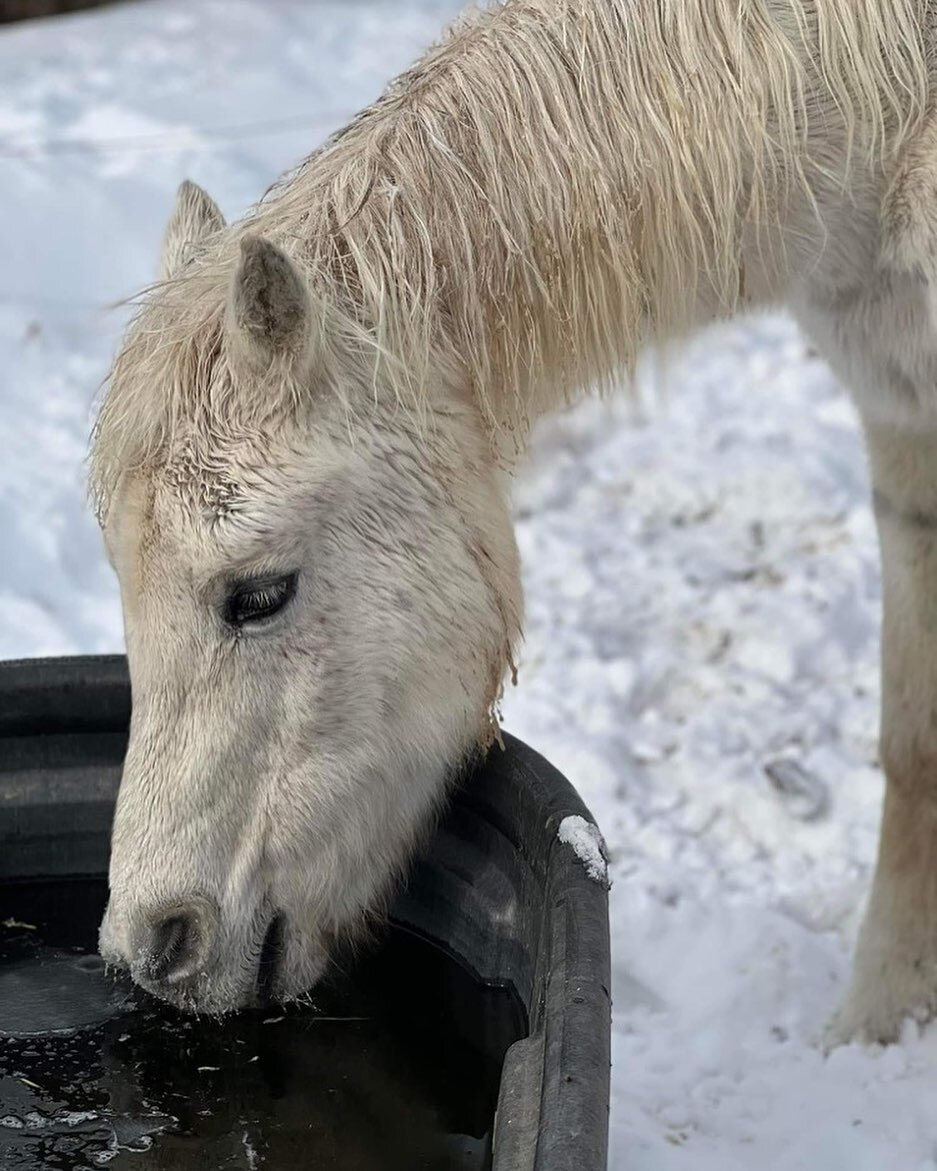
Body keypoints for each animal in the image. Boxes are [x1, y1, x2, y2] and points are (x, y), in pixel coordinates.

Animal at [93, 0, 937, 1044]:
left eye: (257, 595)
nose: (153, 948)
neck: (891, 120)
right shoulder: (899, 408)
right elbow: (912, 741)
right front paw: (881, 1017)